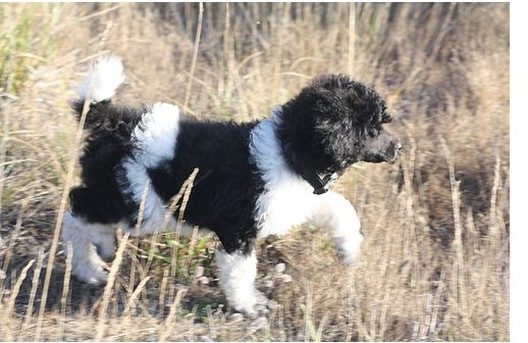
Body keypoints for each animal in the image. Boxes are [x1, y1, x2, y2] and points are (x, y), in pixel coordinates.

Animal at [60, 55, 400, 316]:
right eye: (371, 131)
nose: (398, 147)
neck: (288, 148)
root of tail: (117, 124)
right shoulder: (238, 229)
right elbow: (241, 271)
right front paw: (249, 305)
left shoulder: (301, 198)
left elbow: (341, 209)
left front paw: (350, 249)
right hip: (139, 203)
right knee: (76, 212)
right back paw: (87, 267)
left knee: (89, 210)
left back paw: (101, 247)